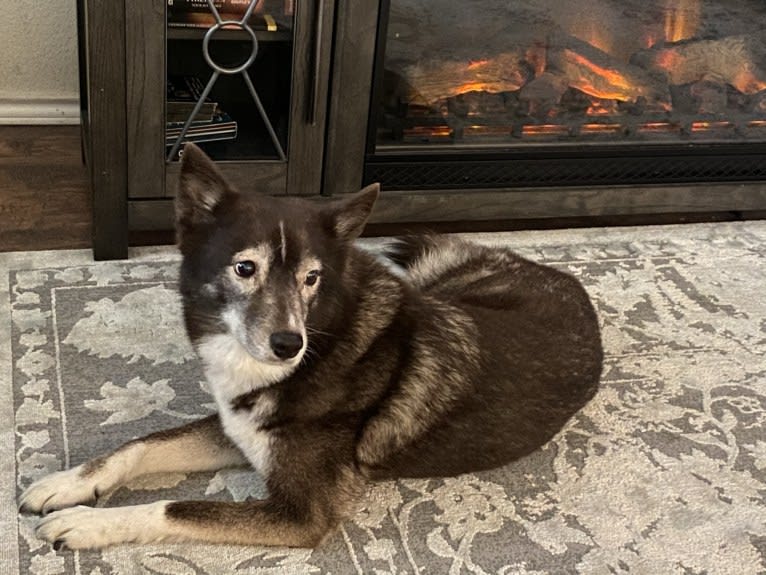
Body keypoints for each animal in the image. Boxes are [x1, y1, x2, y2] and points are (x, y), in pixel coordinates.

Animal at [18, 143, 604, 548]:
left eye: (312, 278)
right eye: (245, 268)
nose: (287, 345)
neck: (328, 341)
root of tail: (570, 283)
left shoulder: (301, 516)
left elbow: (176, 507)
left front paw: (87, 523)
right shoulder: (237, 428)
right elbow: (140, 445)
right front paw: (66, 484)